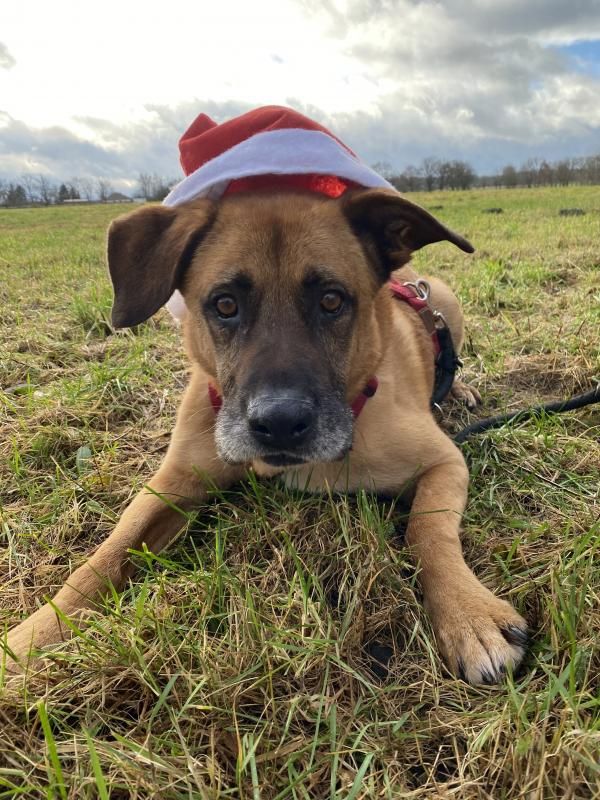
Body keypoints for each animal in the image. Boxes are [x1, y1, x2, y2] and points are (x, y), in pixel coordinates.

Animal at [4, 187, 528, 683]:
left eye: (332, 300)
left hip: (447, 303)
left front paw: (467, 613)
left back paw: (458, 387)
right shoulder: (173, 484)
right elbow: (106, 554)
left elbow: (428, 531)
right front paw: (34, 636)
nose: (279, 423)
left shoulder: (443, 461)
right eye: (225, 305)